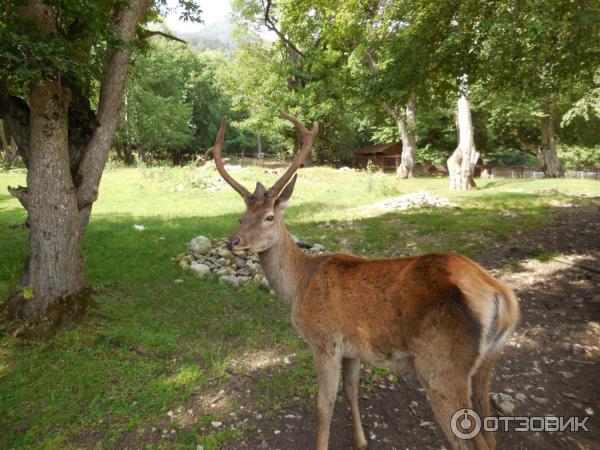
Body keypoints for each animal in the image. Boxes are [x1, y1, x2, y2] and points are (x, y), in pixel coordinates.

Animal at [212, 110, 520, 450]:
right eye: (241, 216)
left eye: (269, 217)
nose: (233, 242)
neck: (300, 285)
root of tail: (501, 295)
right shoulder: (353, 348)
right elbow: (351, 390)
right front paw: (360, 440)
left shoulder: (324, 342)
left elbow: (324, 405)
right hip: (486, 364)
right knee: (490, 435)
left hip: (441, 366)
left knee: (469, 439)